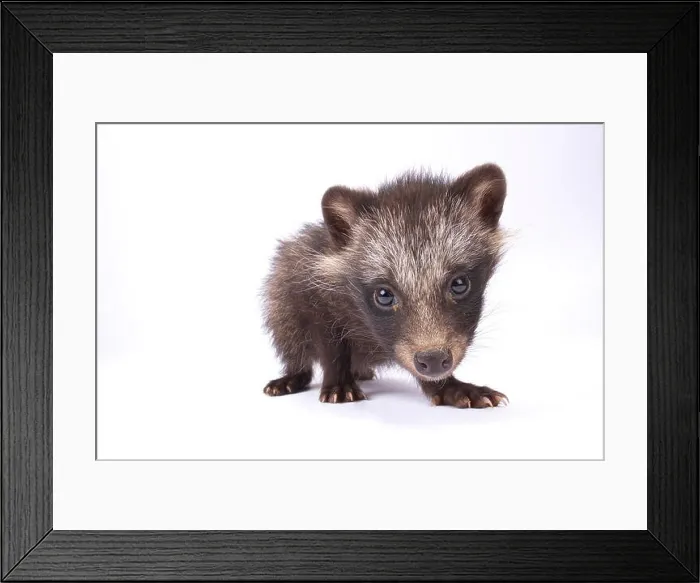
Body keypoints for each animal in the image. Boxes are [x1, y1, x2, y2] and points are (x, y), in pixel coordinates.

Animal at [261, 163, 509, 408]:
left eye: (459, 284)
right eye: (384, 295)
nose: (434, 360)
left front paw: (447, 386)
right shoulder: (313, 293)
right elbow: (330, 343)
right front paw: (337, 380)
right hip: (281, 298)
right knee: (289, 338)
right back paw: (294, 374)